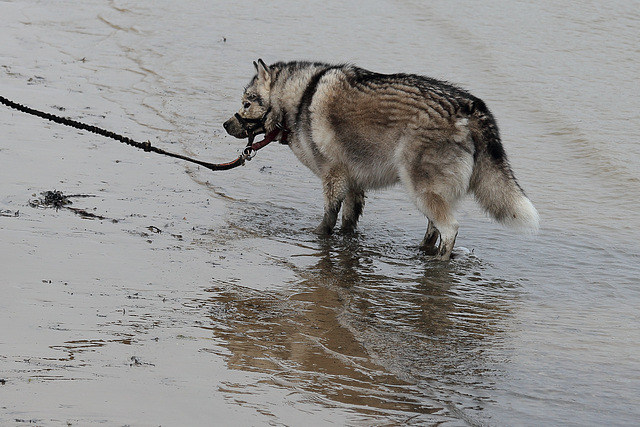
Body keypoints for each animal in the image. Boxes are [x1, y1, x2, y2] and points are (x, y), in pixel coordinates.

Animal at [222, 59, 536, 260]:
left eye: (247, 103)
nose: (225, 125)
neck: (300, 99)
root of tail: (471, 107)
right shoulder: (353, 184)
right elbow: (348, 222)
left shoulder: (333, 178)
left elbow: (328, 218)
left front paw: (318, 237)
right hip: (431, 192)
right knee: (434, 229)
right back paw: (422, 253)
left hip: (421, 189)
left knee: (449, 229)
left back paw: (438, 262)